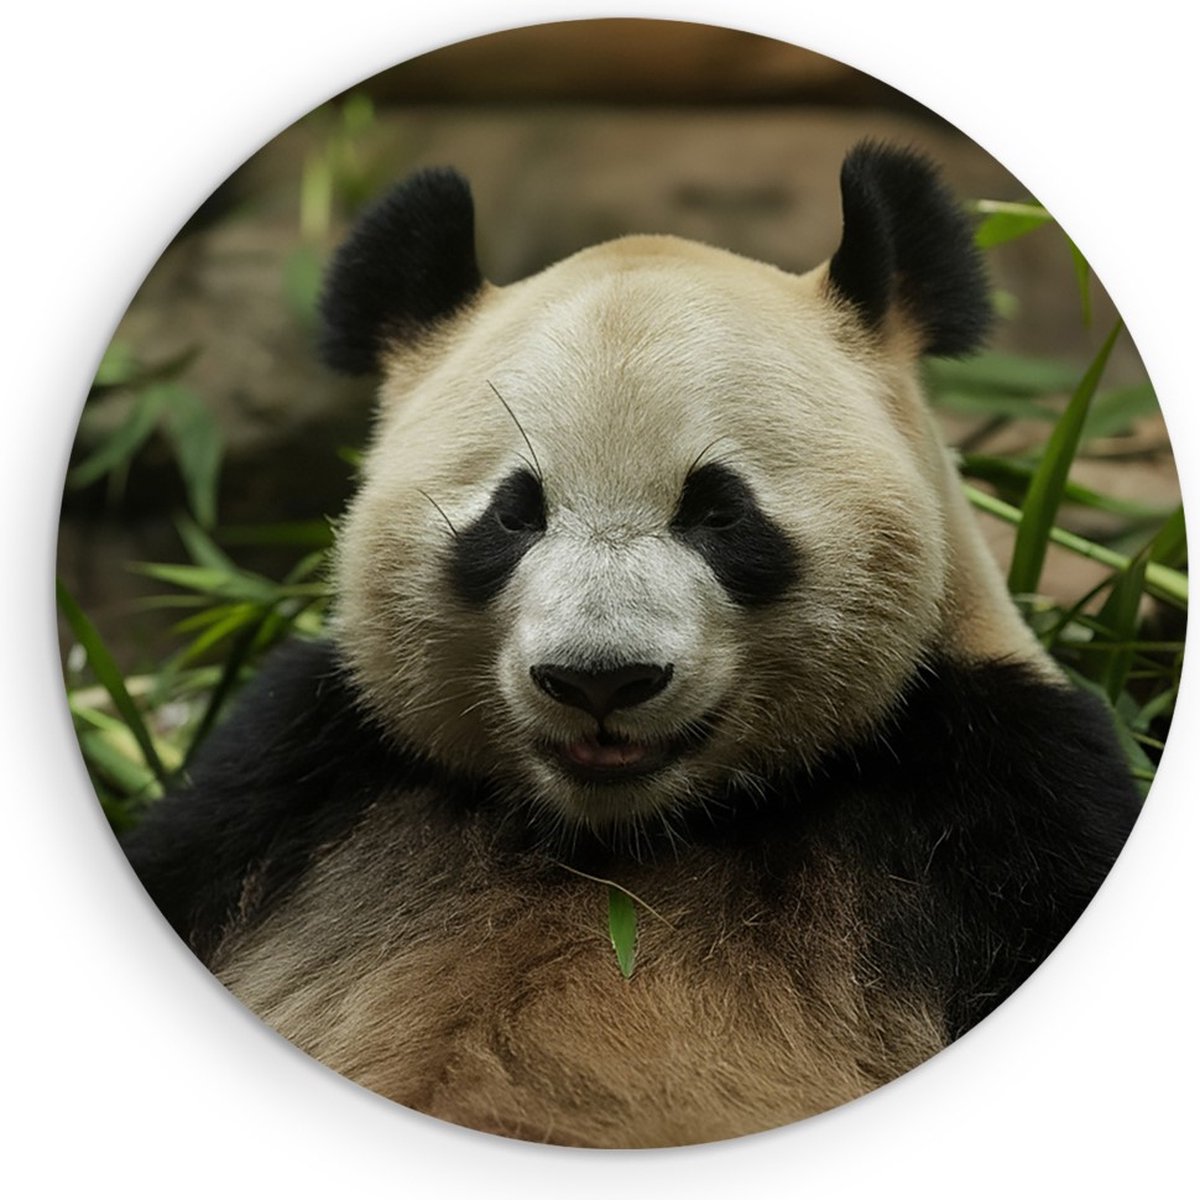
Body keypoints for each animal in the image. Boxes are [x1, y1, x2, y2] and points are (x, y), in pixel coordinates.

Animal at [122, 142, 1142, 1148]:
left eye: (719, 512)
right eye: (514, 514)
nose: (599, 681)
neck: (623, 842)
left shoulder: (1000, 791)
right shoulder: (299, 769)